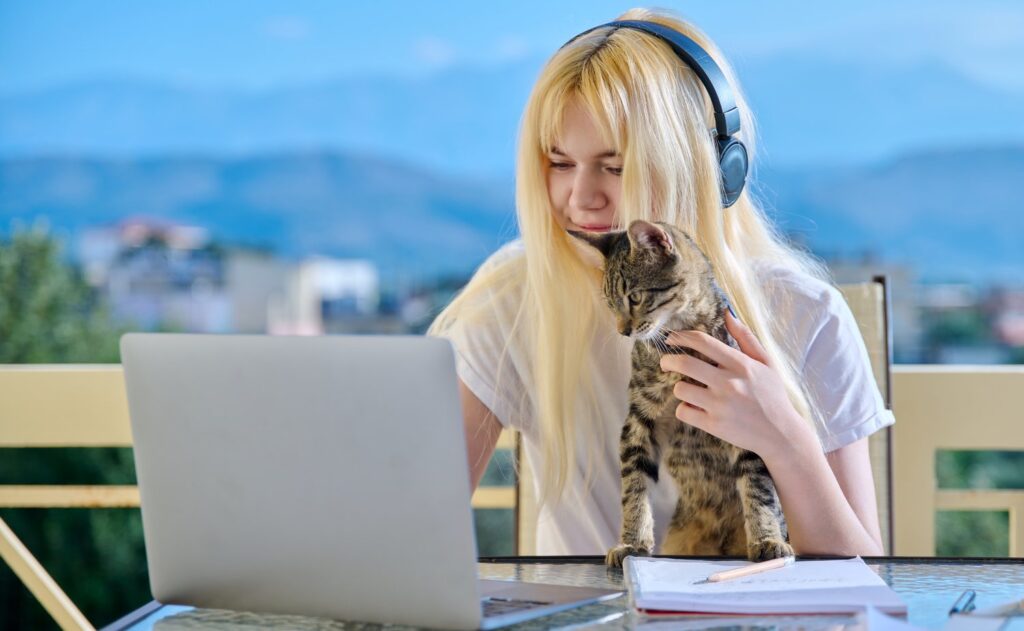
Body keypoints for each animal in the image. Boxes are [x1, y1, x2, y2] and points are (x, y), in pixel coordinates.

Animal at [569, 220, 790, 565]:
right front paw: (633, 542)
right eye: (610, 304)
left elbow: (758, 485)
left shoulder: (748, 420)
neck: (682, 338)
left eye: (634, 297)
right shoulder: (639, 420)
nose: (622, 331)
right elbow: (634, 486)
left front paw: (767, 538)